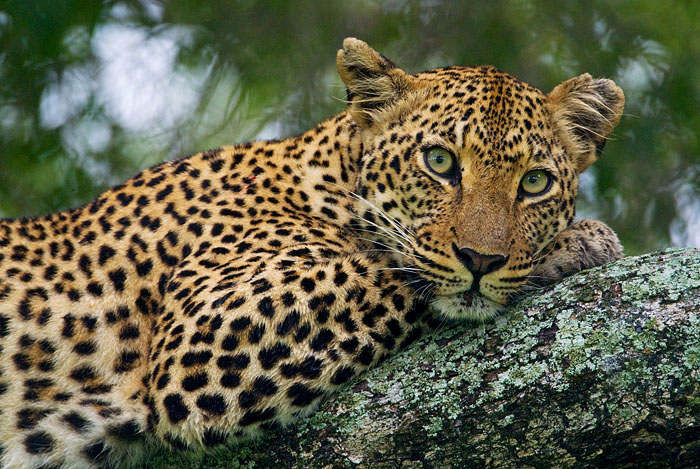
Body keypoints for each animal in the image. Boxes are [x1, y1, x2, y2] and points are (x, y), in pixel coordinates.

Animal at [0, 38, 624, 468]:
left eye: (535, 182)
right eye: (441, 162)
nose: (480, 260)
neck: (328, 181)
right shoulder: (205, 334)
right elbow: (391, 272)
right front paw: (578, 243)